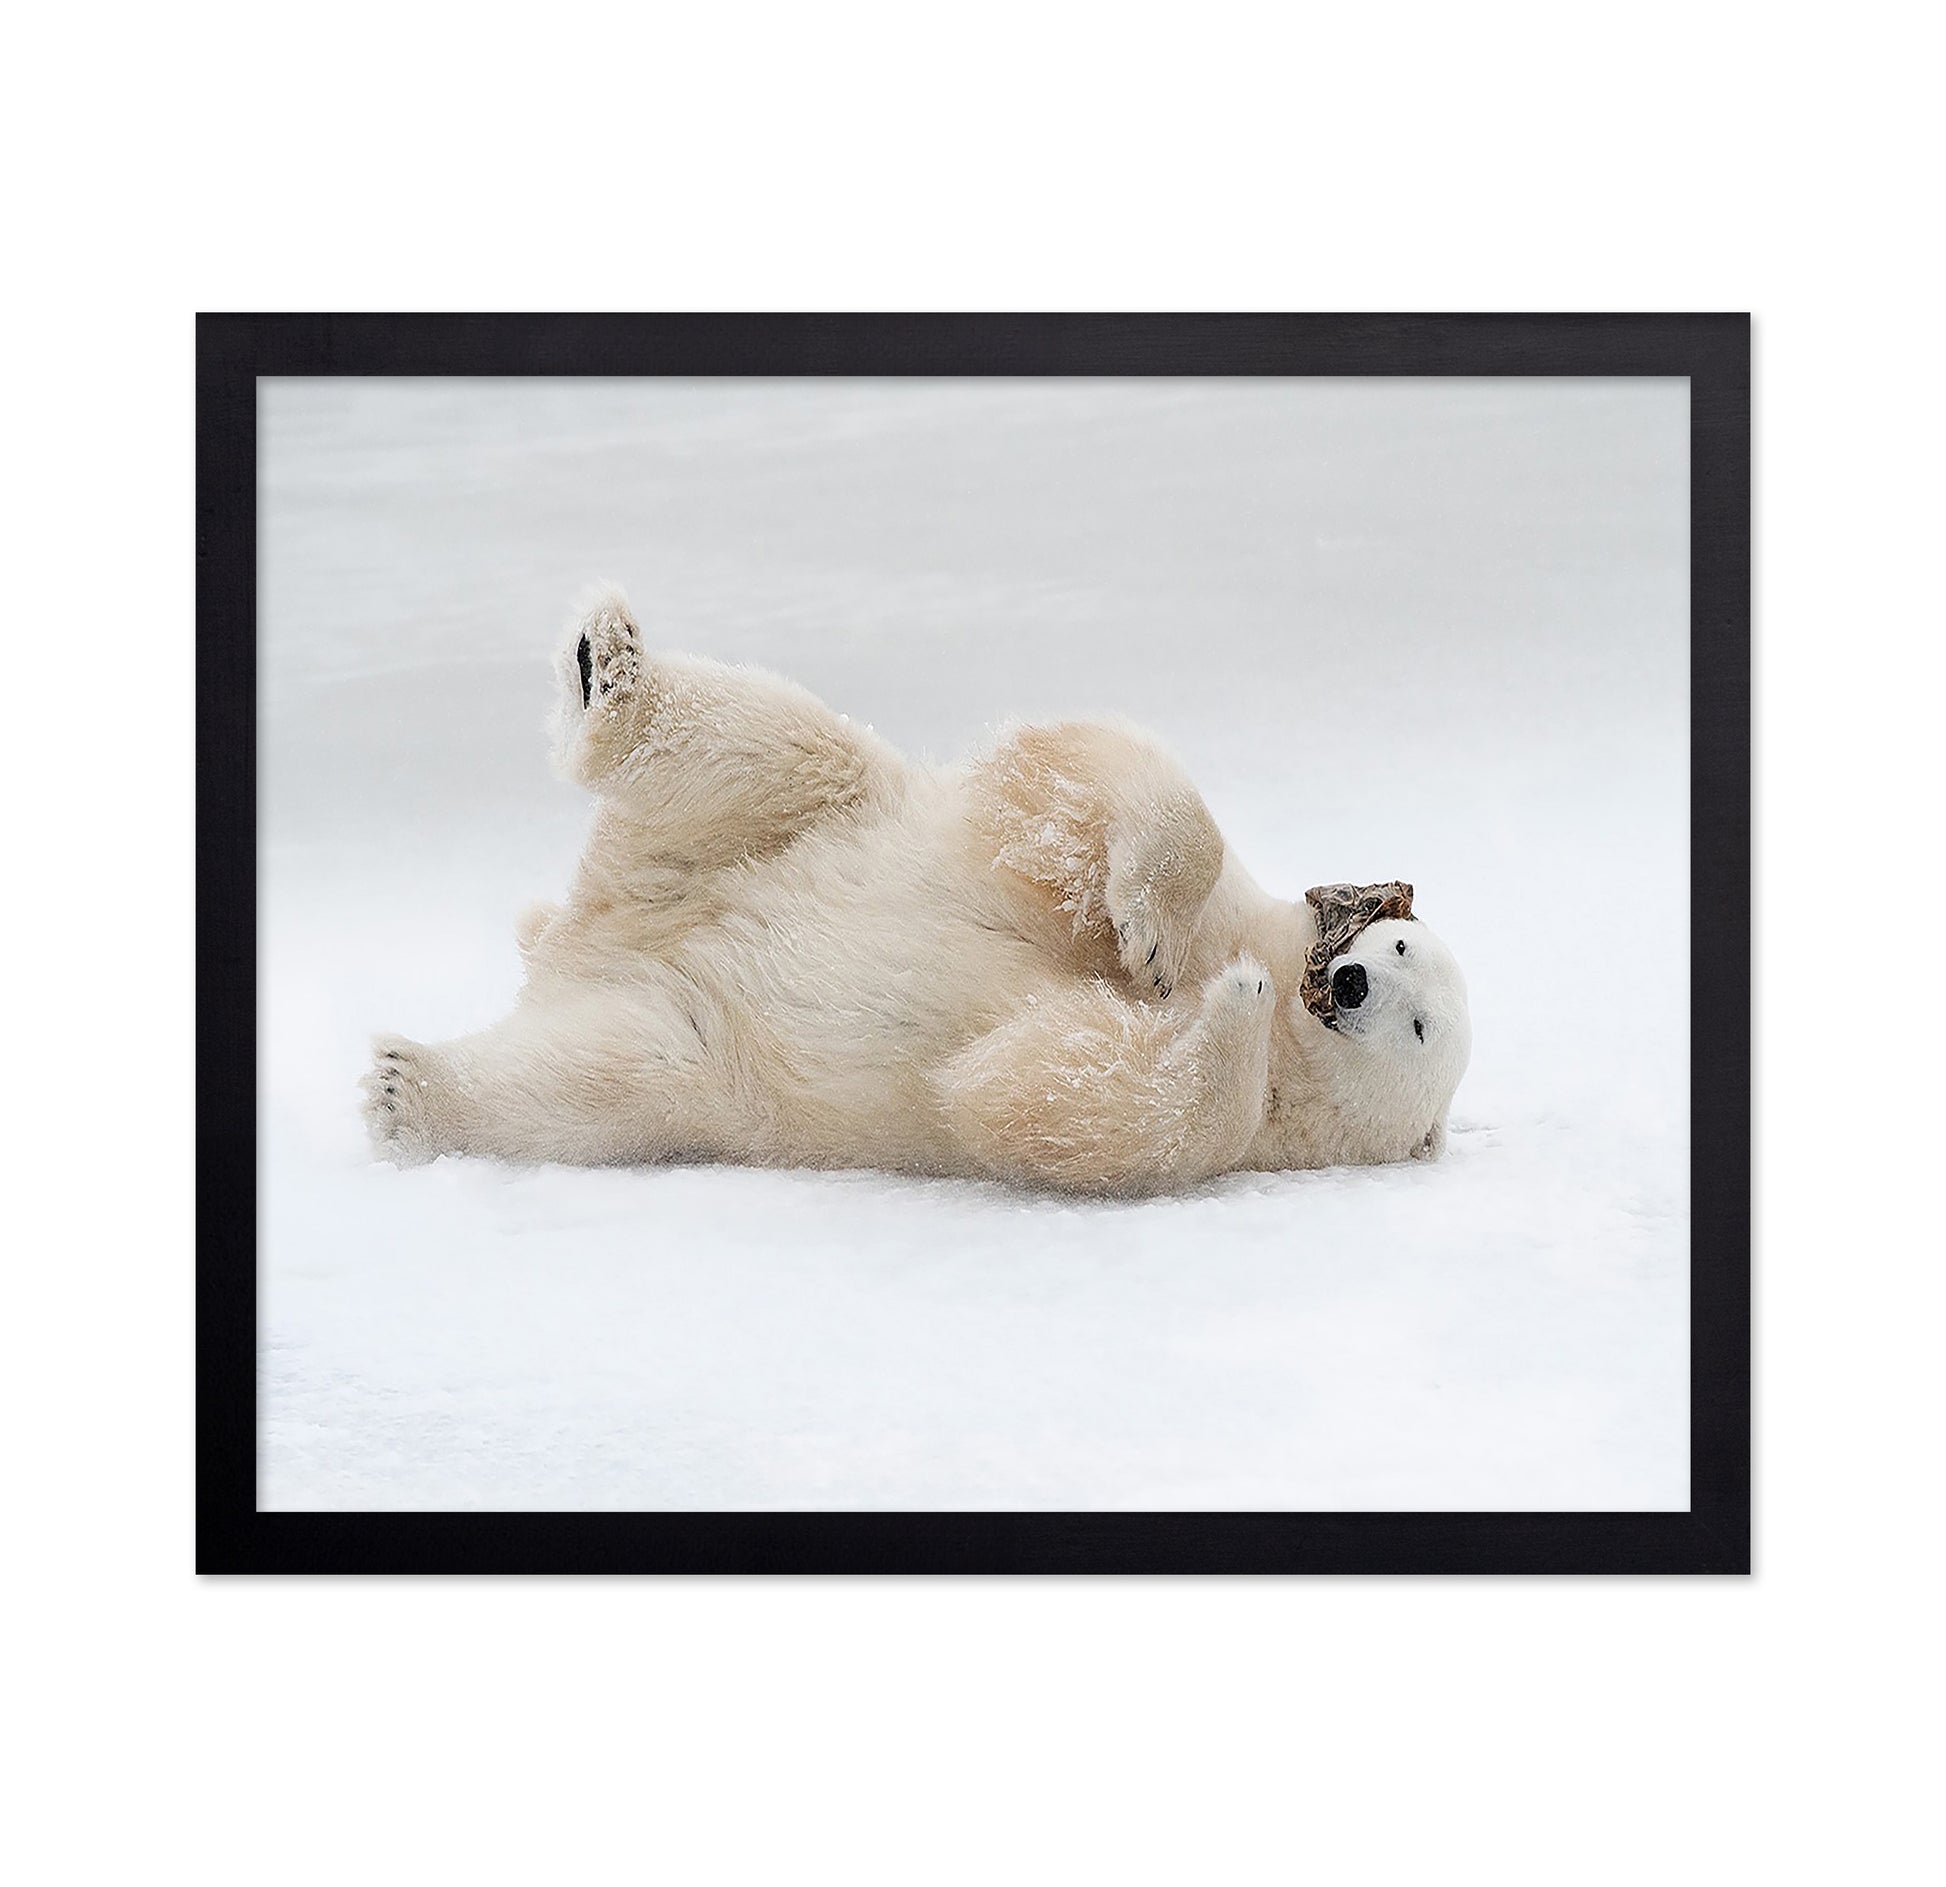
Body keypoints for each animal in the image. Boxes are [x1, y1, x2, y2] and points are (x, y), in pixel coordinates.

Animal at [361, 589, 1472, 1194]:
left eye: (1420, 1027)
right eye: (1400, 949)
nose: (1351, 985)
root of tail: (590, 931)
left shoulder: (1257, 1140)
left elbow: (1076, 1102)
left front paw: (1226, 1003)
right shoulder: (1221, 894)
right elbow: (1093, 786)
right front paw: (1152, 940)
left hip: (702, 1048)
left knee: (593, 1081)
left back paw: (409, 1090)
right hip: (791, 823)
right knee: (769, 739)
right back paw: (609, 665)